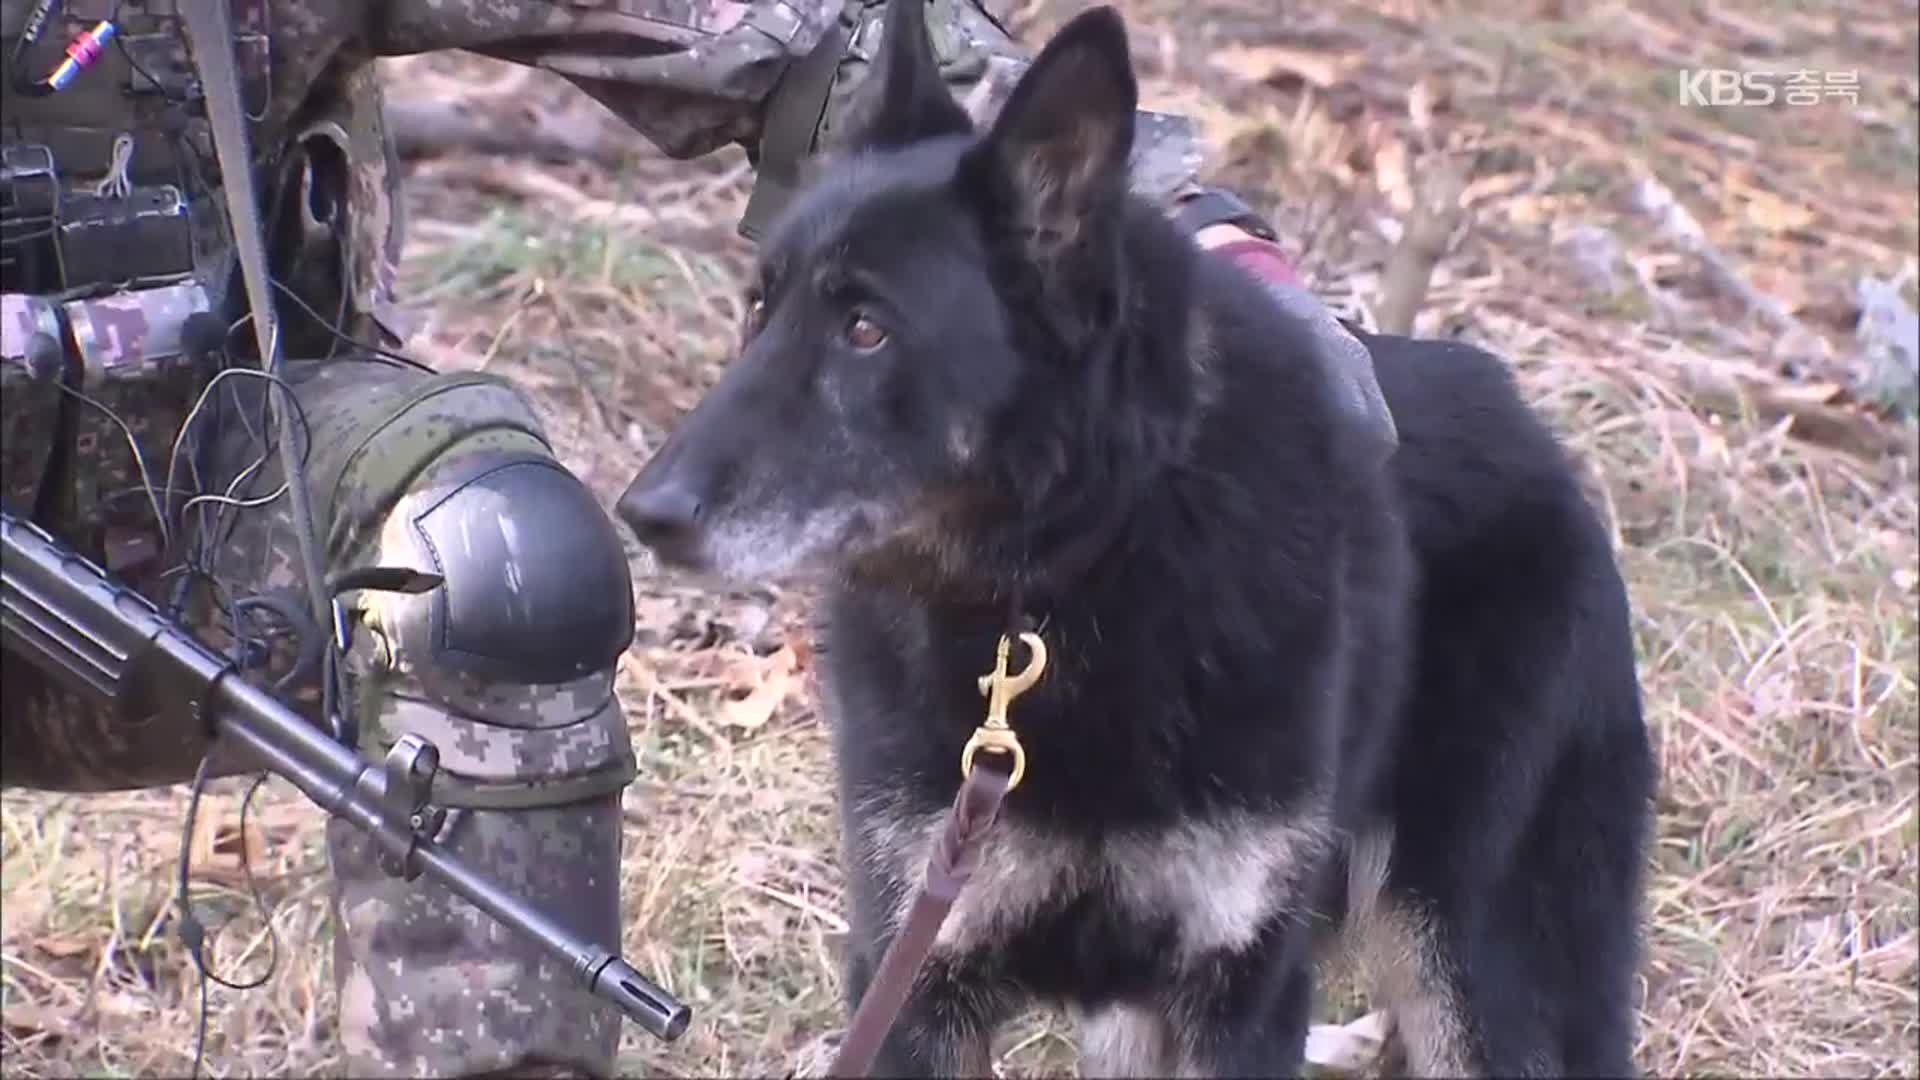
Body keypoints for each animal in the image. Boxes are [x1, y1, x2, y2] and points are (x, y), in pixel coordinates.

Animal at [618, 0, 1651, 1068]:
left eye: (866, 328)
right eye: (759, 308)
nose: (642, 513)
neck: (1068, 588)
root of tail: (1532, 427)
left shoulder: (1241, 999)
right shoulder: (916, 979)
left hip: (1478, 974)